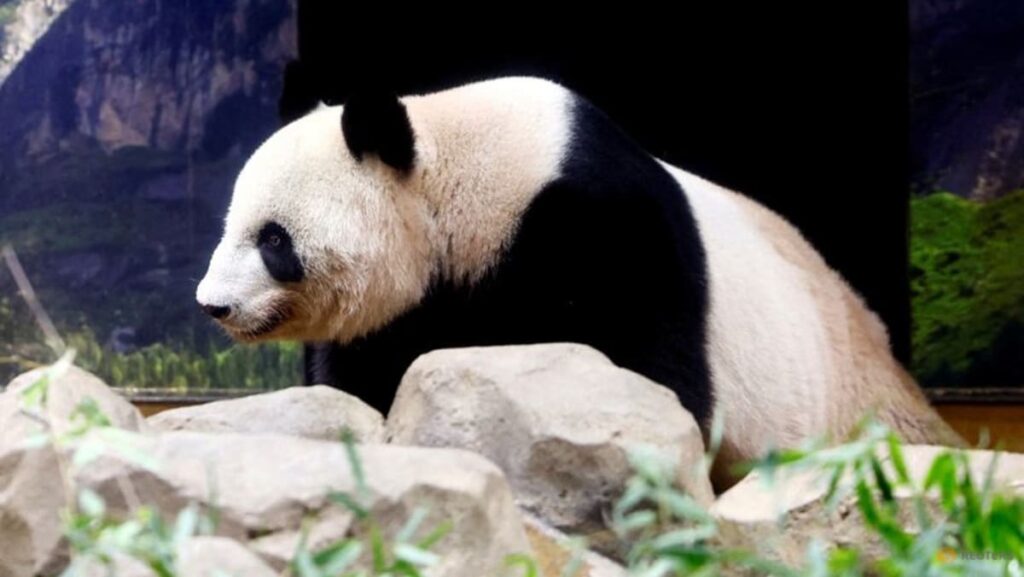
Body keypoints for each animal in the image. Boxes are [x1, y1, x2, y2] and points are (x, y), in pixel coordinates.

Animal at [195, 75, 962, 483]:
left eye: (273, 239)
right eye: (230, 226)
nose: (214, 305)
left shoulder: (604, 225)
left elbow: (650, 373)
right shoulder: (412, 302)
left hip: (852, 402)